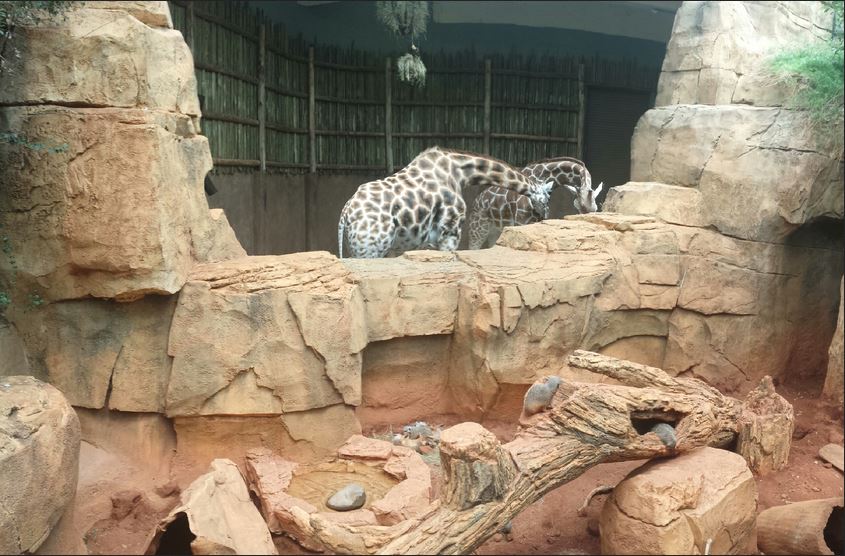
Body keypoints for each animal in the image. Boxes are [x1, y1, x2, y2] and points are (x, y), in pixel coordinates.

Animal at [337, 146, 551, 259]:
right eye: (548, 199)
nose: (545, 218)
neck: (461, 173)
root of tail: (346, 214)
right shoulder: (450, 233)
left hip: (356, 247)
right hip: (369, 249)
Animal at [466, 156, 603, 249]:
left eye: (596, 209)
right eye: (578, 205)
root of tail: (476, 201)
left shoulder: (539, 219)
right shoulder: (521, 221)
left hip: (495, 230)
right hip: (478, 228)